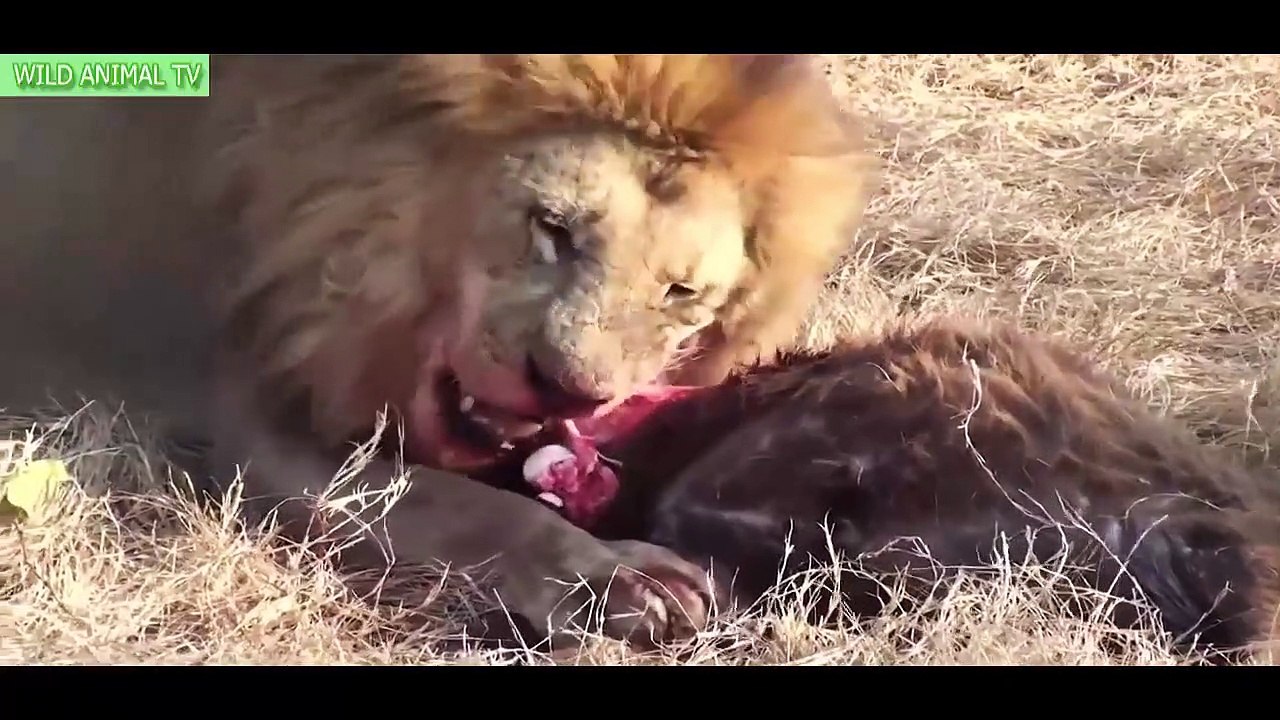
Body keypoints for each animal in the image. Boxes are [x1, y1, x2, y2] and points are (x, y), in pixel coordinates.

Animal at [0, 55, 873, 646]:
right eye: (552, 228)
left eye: (681, 292)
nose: (569, 391)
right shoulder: (245, 418)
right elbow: (461, 506)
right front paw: (620, 578)